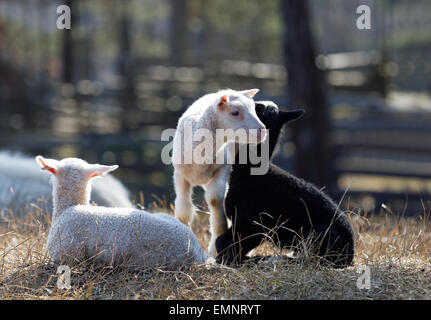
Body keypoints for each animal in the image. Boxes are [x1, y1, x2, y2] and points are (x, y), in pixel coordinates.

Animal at [172, 88, 266, 258]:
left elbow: (215, 201)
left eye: (254, 109)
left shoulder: (222, 170)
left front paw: (215, 249)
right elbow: (183, 211)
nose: (262, 131)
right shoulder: (180, 176)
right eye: (235, 112)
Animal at [216, 100, 354, 268]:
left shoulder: (250, 222)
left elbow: (225, 245)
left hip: (321, 235)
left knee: (312, 259)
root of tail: (350, 254)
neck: (249, 172)